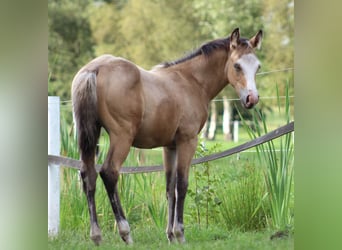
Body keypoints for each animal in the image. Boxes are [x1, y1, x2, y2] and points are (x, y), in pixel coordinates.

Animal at [72, 27, 264, 244]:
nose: (252, 99)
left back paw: (96, 236)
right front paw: (180, 234)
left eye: (257, 67)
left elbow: (169, 187)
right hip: (122, 137)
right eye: (237, 65)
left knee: (88, 175)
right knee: (108, 172)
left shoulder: (169, 146)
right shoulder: (187, 141)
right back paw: (125, 233)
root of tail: (95, 69)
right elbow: (182, 184)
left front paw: (170, 236)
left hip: (91, 135)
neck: (191, 81)